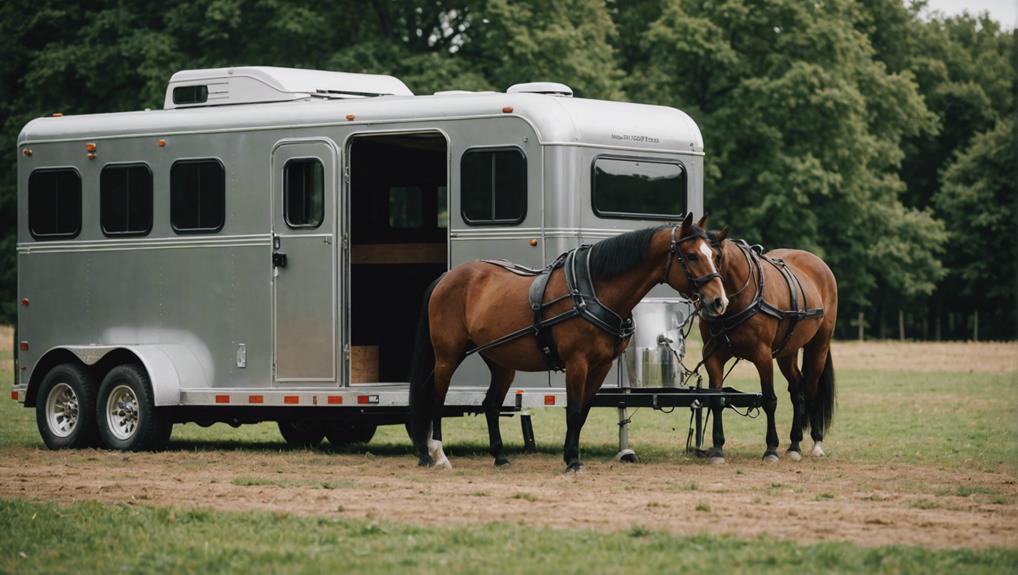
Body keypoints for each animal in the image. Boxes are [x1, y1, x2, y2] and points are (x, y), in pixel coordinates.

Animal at [405, 212, 724, 468]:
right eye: (692, 256)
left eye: (714, 254)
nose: (719, 301)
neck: (593, 290)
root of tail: (447, 278)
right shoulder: (576, 363)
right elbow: (573, 411)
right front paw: (572, 461)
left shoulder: (600, 367)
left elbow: (582, 413)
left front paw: (571, 454)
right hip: (448, 356)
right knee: (436, 398)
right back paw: (438, 454)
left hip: (500, 362)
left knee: (490, 405)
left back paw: (500, 457)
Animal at [700, 227, 834, 462]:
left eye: (716, 257)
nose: (713, 302)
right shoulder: (712, 356)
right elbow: (717, 400)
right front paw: (717, 448)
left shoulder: (762, 356)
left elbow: (769, 400)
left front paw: (771, 448)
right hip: (787, 352)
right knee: (797, 390)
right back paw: (794, 444)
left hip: (819, 346)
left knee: (812, 388)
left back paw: (816, 442)